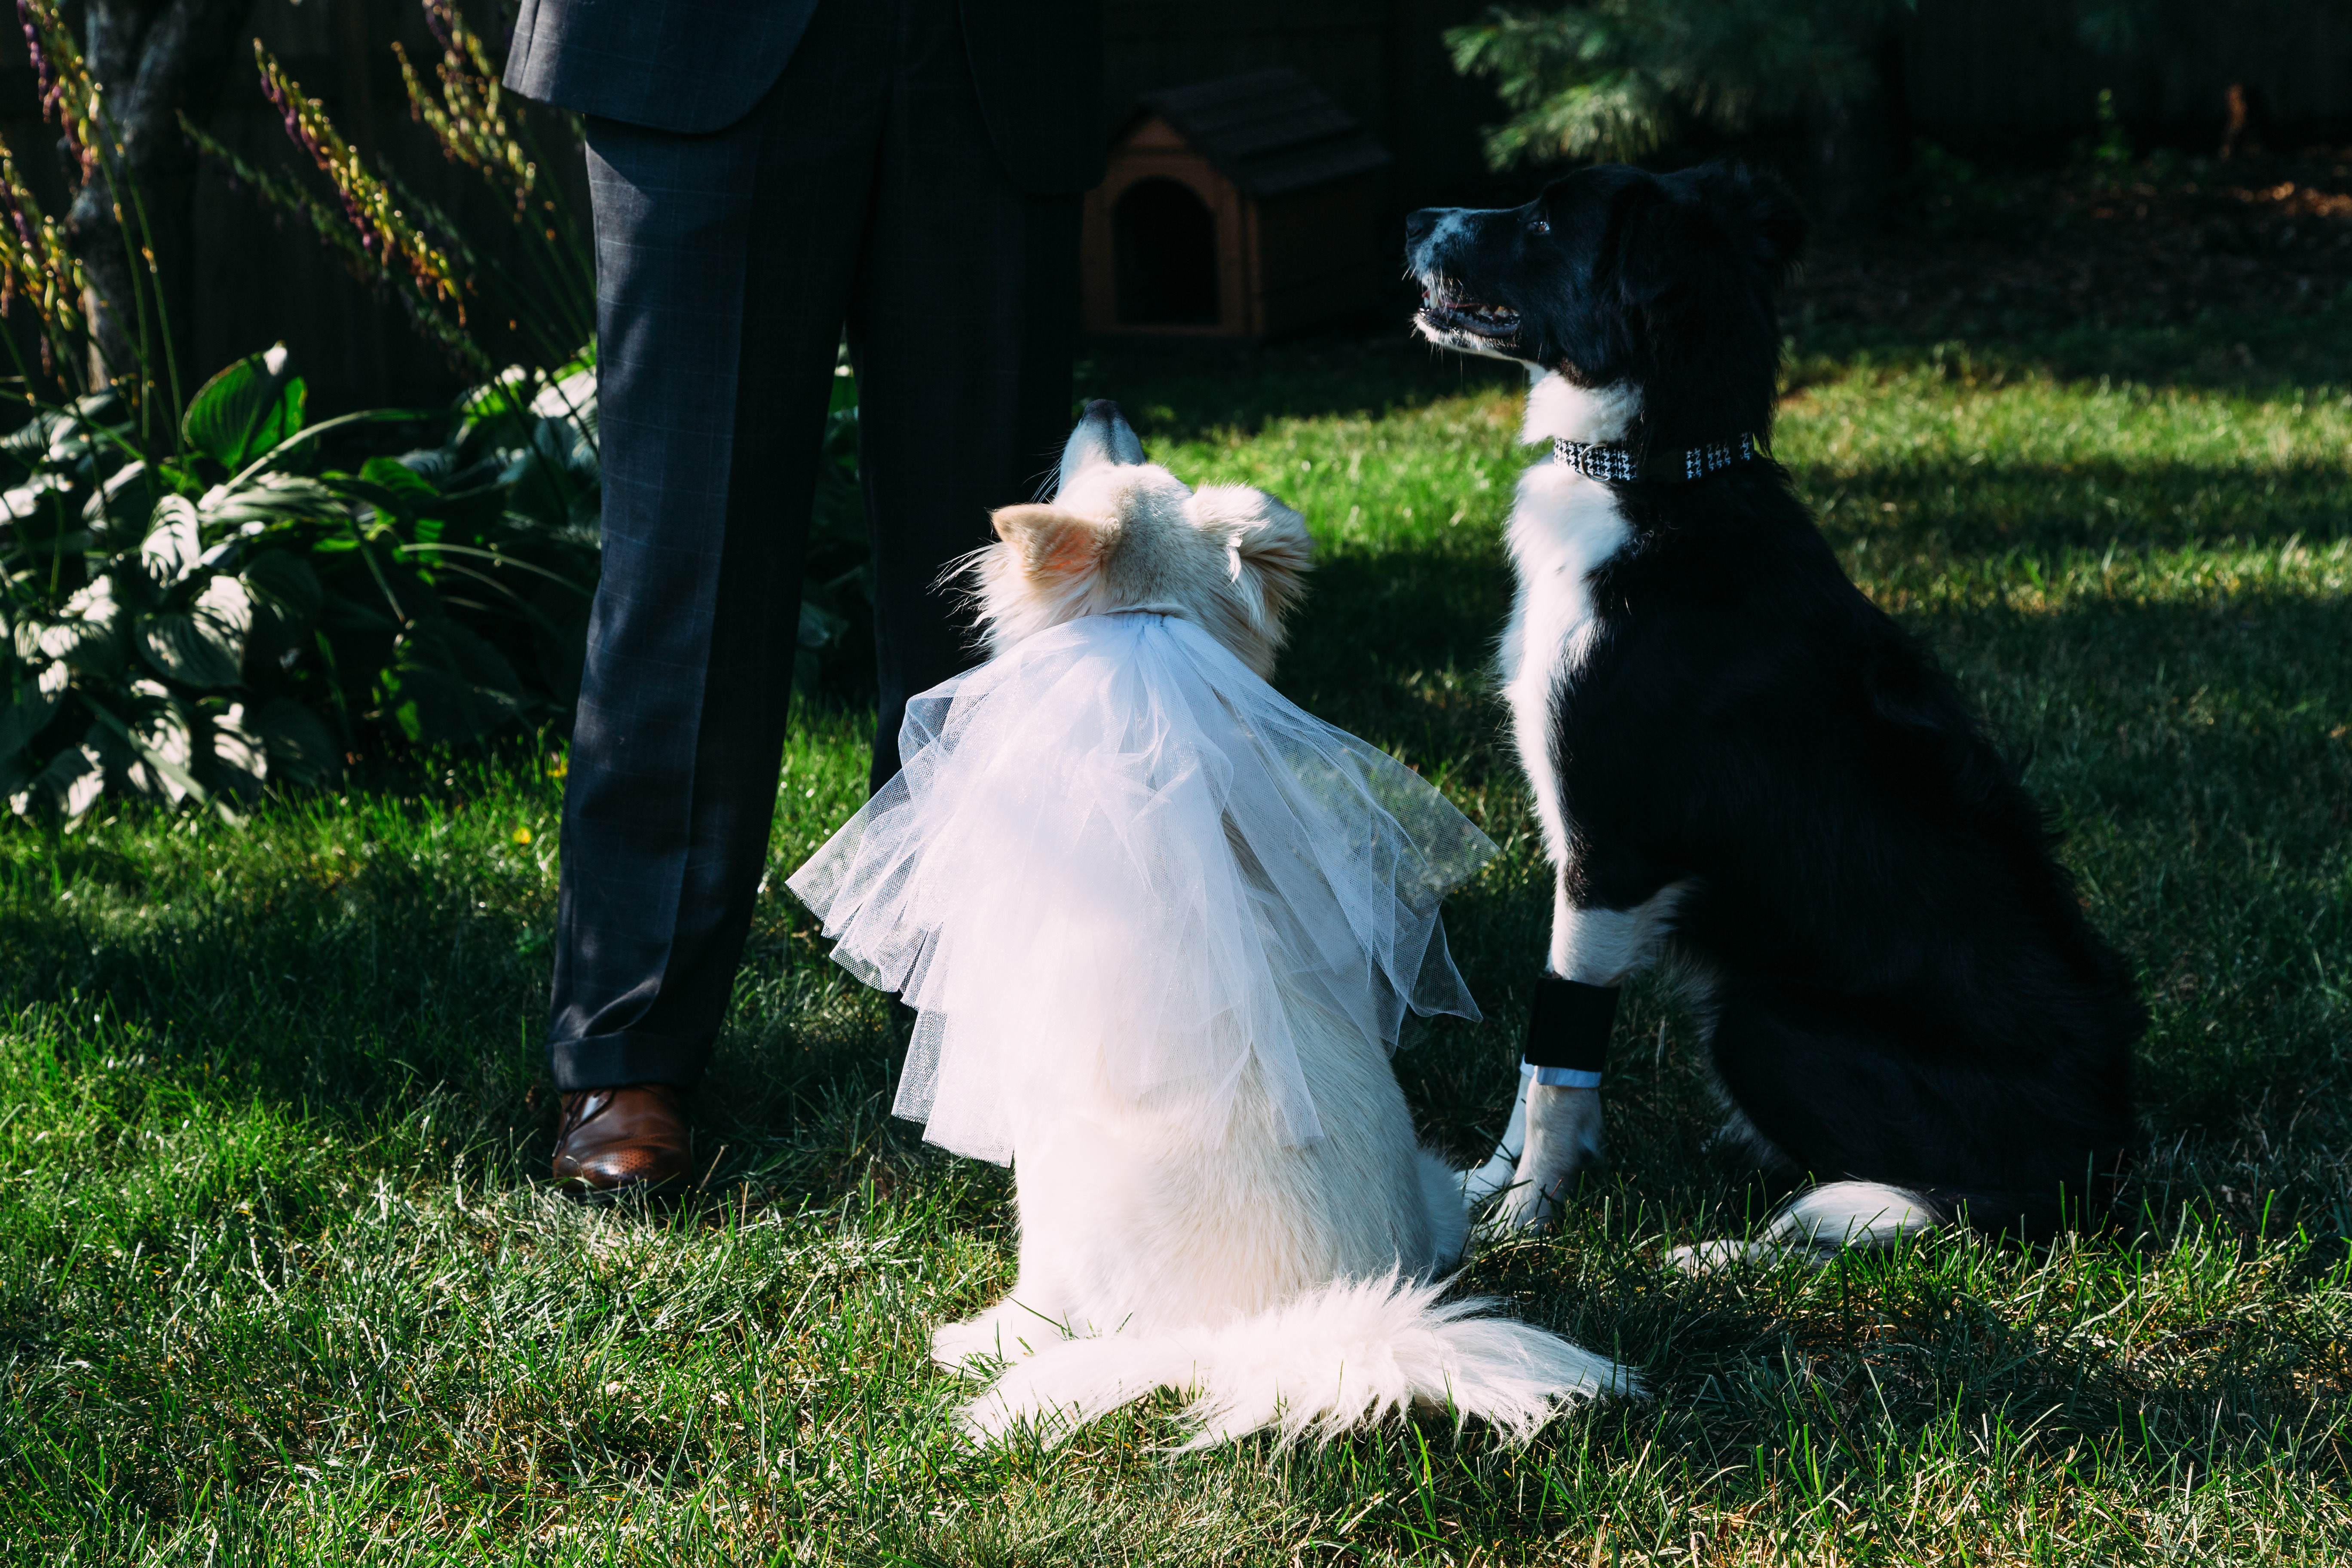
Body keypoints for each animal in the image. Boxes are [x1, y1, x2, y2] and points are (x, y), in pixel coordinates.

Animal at [790, 402, 1637, 1448]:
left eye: (1100, 470)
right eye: (1143, 457)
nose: (1103, 403)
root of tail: (1284, 1326)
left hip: (1077, 1196)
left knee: (1057, 1305)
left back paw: (984, 1342)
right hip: (1432, 1192)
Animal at [1402, 162, 2145, 1260]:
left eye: (1542, 221)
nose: (1410, 216)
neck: (1653, 476)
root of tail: (2107, 1158)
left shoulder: (1610, 855)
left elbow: (1557, 1060)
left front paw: (1524, 1222)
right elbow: (1538, 1064)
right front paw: (1485, 1189)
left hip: (1757, 1014)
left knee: (1940, 1213)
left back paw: (1710, 1258)